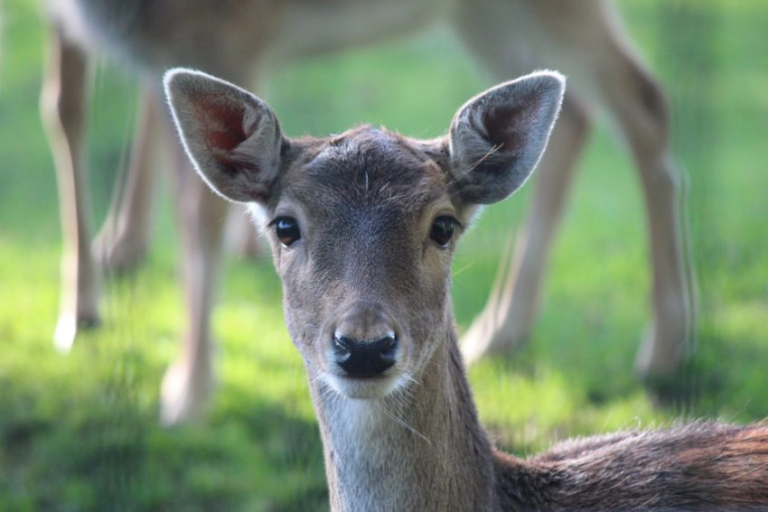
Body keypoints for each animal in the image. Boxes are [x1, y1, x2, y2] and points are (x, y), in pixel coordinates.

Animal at [43, 0, 696, 424]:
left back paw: (664, 346)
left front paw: (185, 393)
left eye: (444, 227)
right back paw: (501, 332)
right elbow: (66, 109)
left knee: (645, 100)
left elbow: (193, 212)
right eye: (285, 226)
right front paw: (81, 312)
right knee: (579, 115)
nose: (364, 348)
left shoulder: (221, 28)